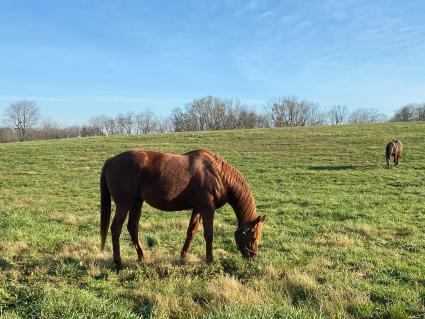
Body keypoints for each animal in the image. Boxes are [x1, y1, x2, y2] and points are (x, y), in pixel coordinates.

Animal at [100, 149, 264, 268]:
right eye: (253, 237)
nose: (253, 258)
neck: (218, 174)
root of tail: (112, 160)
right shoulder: (207, 209)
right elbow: (209, 235)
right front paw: (210, 260)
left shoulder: (198, 209)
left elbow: (191, 232)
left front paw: (183, 256)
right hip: (124, 204)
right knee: (116, 228)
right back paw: (118, 261)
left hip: (136, 202)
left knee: (132, 227)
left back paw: (142, 256)